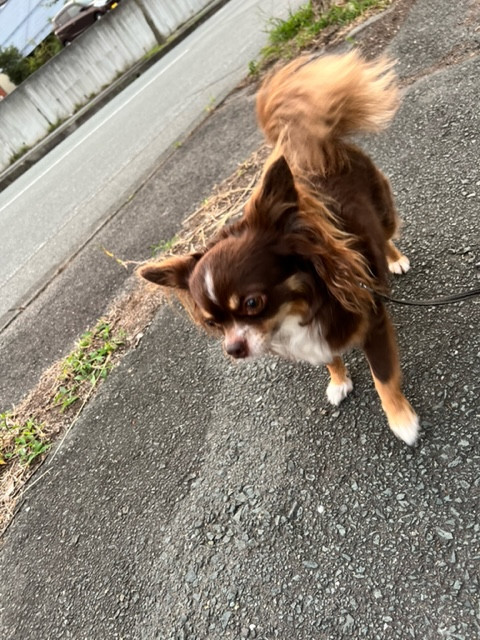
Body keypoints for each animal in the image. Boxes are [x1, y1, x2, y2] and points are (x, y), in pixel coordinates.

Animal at [139, 51, 419, 446]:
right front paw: (339, 379)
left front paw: (401, 420)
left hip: (383, 211)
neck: (295, 308)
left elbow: (384, 377)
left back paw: (394, 260)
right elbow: (330, 357)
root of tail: (320, 147)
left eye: (252, 303)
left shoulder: (373, 323)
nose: (233, 349)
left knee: (388, 232)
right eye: (213, 323)